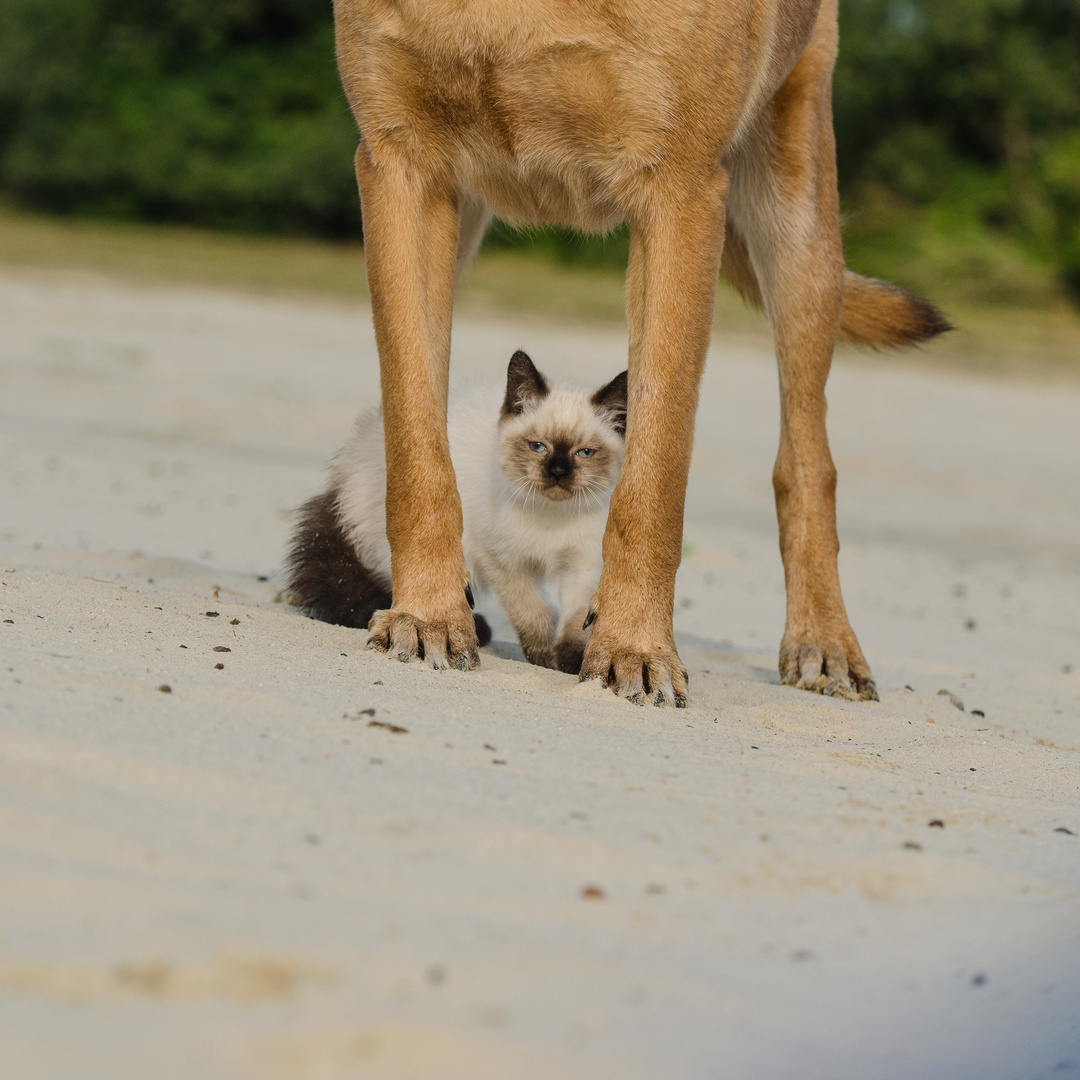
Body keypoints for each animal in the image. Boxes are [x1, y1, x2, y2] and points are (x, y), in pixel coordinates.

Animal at [282, 354, 630, 669]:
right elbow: (535, 614)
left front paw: (572, 659)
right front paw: (543, 656)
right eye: (537, 447)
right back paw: (472, 628)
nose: (558, 472)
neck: (552, 515)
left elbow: (575, 619)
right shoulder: (504, 562)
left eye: (585, 453)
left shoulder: (582, 565)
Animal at [332, 0, 950, 704]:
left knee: (807, 461)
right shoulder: (403, 169)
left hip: (799, 236)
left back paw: (824, 641)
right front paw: (428, 612)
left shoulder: (677, 198)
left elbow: (653, 482)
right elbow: (416, 443)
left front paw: (633, 646)